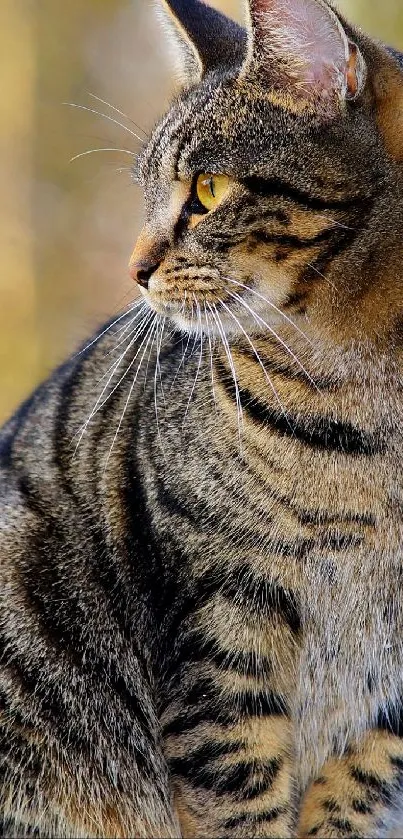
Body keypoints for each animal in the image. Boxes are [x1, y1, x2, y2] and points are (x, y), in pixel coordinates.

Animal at [0, 0, 403, 836]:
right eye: (149, 193)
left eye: (209, 190)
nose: (133, 269)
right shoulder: (220, 609)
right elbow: (237, 795)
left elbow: (351, 791)